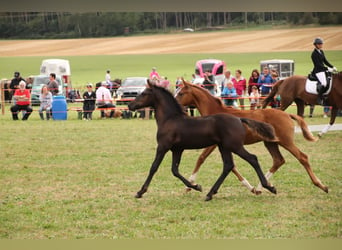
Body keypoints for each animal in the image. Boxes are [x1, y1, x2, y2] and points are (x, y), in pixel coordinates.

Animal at [130, 80, 276, 201]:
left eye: (144, 93)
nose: (130, 105)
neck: (170, 119)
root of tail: (239, 119)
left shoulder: (163, 146)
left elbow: (154, 167)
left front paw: (140, 192)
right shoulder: (177, 149)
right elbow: (175, 170)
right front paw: (196, 187)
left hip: (234, 146)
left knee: (252, 159)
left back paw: (268, 187)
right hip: (224, 147)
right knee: (228, 165)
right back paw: (210, 193)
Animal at [175, 78, 328, 193]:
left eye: (181, 93)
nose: (176, 105)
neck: (215, 112)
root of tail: (286, 114)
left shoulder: (215, 144)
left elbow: (201, 158)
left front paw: (190, 186)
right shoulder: (224, 145)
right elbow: (231, 166)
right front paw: (251, 187)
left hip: (286, 141)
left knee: (302, 157)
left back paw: (321, 185)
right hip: (270, 142)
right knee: (278, 160)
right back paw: (262, 187)